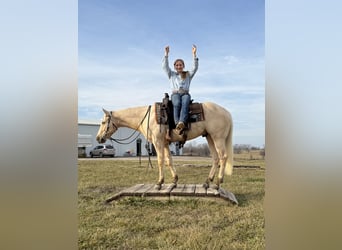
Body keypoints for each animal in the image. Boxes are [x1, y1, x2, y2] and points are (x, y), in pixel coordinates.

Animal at [97, 101, 234, 189]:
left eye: (103, 122)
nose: (99, 138)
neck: (148, 117)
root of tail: (227, 113)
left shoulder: (158, 142)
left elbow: (160, 160)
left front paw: (159, 183)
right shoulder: (165, 143)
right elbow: (169, 160)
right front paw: (174, 181)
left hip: (218, 138)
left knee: (223, 157)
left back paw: (218, 183)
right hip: (210, 137)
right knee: (215, 158)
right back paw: (207, 182)